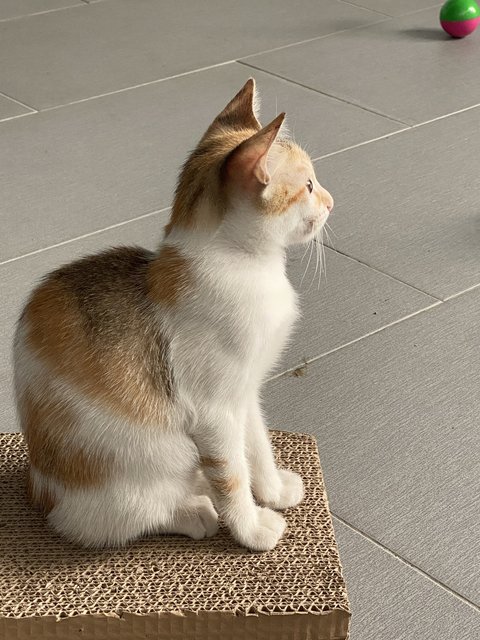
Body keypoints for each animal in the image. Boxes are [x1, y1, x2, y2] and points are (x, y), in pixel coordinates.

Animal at [12, 79, 334, 552]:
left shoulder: (245, 391)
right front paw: (252, 528)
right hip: (144, 463)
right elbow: (231, 474)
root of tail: (39, 489)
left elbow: (257, 444)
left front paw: (272, 490)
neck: (251, 266)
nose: (332, 201)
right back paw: (194, 511)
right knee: (112, 520)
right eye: (308, 185)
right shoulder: (215, 409)